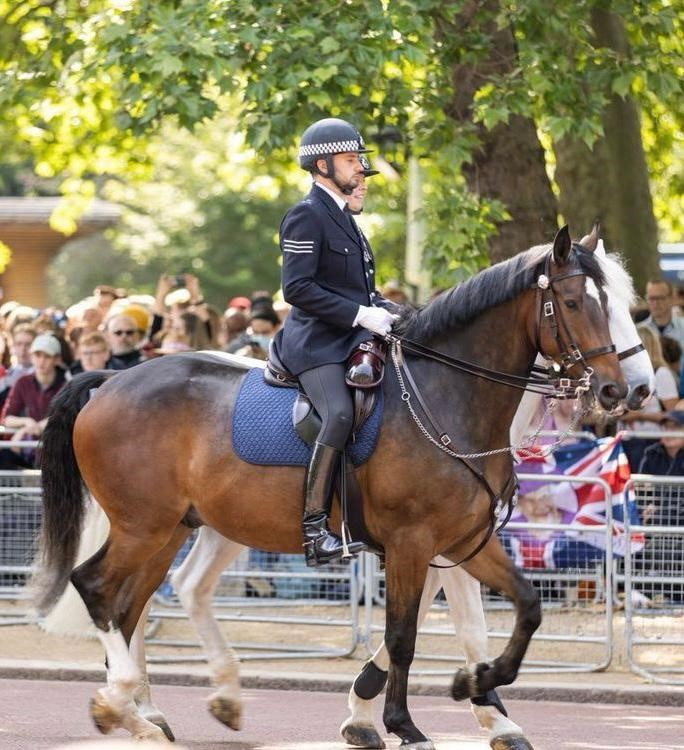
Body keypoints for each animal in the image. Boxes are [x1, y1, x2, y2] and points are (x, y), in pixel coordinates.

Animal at [33, 226, 627, 747]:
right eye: (573, 302)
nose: (617, 390)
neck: (448, 396)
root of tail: (111, 380)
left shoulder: (464, 542)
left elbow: (523, 607)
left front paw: (477, 685)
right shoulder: (411, 544)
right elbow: (402, 636)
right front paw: (402, 725)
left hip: (172, 527)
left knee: (134, 603)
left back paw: (147, 711)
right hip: (144, 525)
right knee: (96, 586)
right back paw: (124, 703)